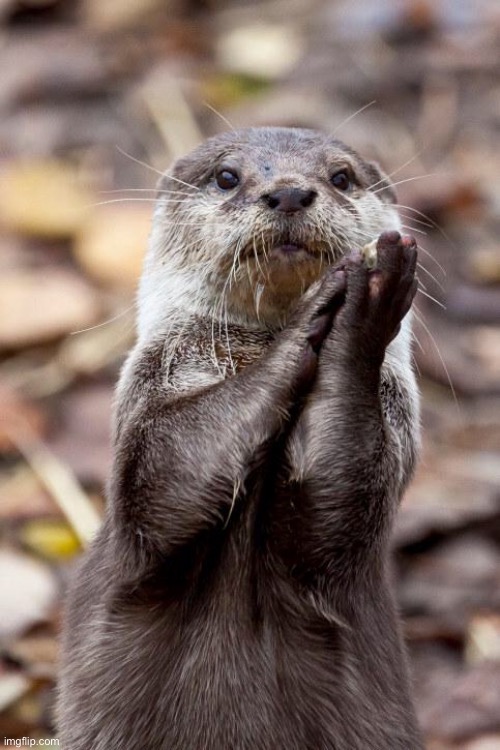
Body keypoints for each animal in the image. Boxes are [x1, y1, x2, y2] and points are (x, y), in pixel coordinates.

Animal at [58, 127, 423, 749]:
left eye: (341, 177)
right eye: (227, 177)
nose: (290, 193)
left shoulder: (389, 447)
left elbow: (336, 501)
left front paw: (364, 303)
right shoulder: (148, 422)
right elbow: (166, 476)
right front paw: (334, 308)